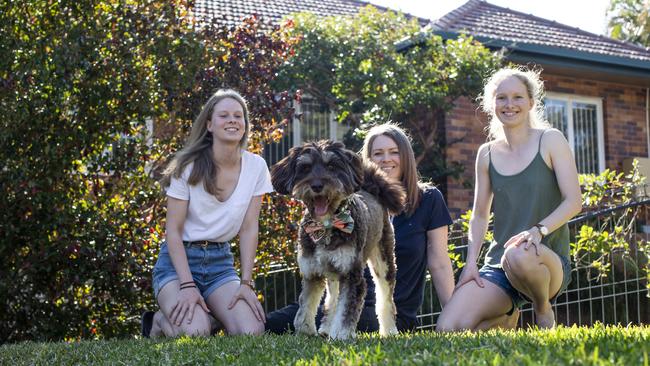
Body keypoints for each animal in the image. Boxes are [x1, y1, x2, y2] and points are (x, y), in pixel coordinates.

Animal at [270, 140, 402, 340]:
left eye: (331, 166)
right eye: (305, 168)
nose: (317, 186)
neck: (327, 225)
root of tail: (372, 190)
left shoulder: (352, 274)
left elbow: (346, 308)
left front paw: (341, 334)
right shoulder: (312, 273)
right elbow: (305, 306)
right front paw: (305, 331)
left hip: (384, 261)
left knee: (385, 298)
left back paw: (390, 331)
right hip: (332, 274)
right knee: (331, 300)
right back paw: (326, 328)